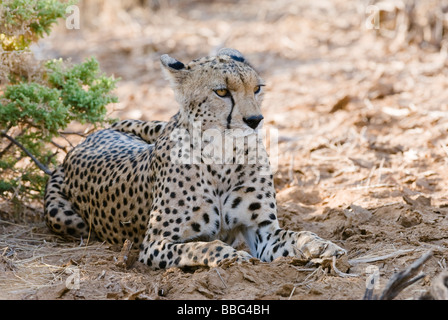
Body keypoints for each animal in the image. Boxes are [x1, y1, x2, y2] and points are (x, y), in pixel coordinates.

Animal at [43, 47, 344, 268]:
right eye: (222, 91)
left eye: (257, 88)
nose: (255, 120)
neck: (224, 155)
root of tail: (88, 138)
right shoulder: (155, 244)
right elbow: (204, 247)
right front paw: (235, 257)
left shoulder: (263, 231)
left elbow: (295, 235)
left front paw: (320, 245)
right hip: (63, 216)